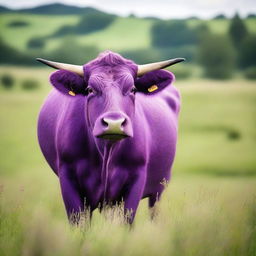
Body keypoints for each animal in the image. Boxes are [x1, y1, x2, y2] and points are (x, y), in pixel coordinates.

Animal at [37, 51, 183, 223]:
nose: (114, 123)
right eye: (90, 89)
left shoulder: (136, 179)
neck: (106, 153)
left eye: (133, 89)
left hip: (159, 189)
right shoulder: (68, 178)